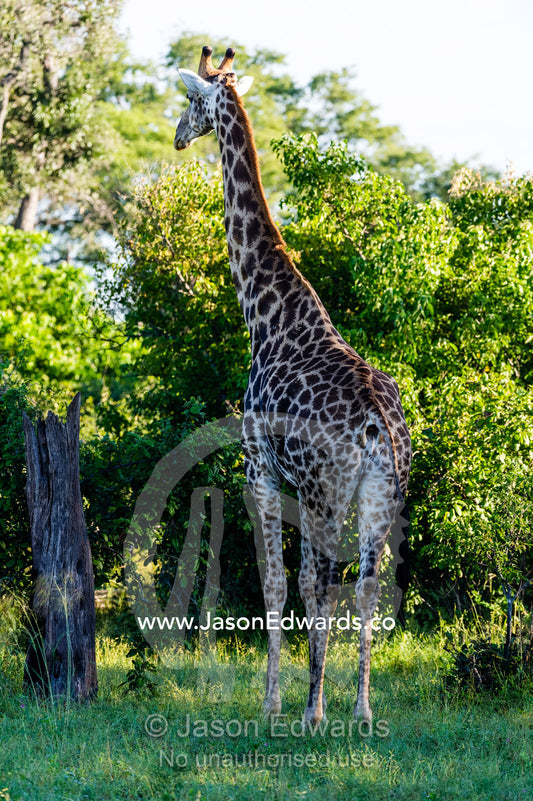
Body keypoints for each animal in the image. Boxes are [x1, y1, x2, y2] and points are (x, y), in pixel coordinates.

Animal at [174, 46, 411, 724]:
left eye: (191, 100)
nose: (177, 136)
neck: (265, 312)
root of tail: (377, 426)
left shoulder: (260, 464)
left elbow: (277, 582)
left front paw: (272, 703)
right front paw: (300, 699)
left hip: (325, 490)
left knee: (323, 582)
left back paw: (314, 710)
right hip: (382, 492)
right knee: (367, 583)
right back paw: (358, 710)